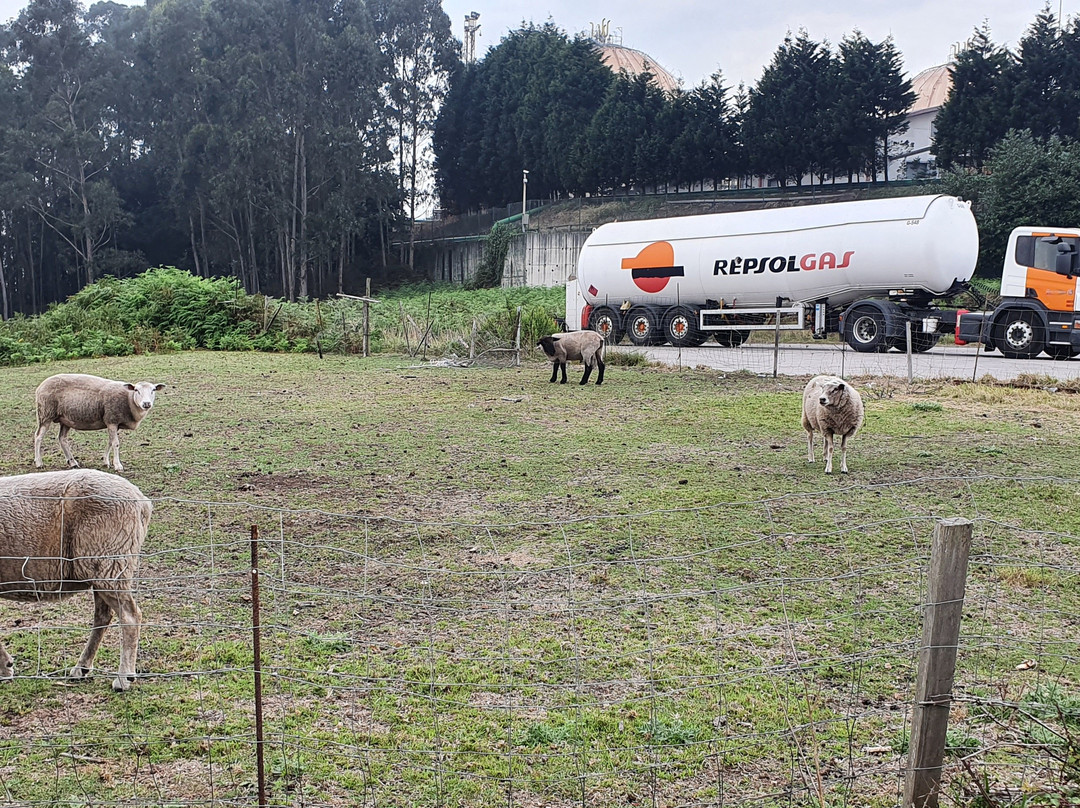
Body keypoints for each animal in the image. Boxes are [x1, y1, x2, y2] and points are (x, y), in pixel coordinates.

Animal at [0, 470, 153, 691]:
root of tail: (142, 502)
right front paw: (6, 668)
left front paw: (5, 668)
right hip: (103, 568)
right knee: (103, 617)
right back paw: (82, 668)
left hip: (110, 562)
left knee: (130, 616)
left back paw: (123, 678)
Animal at [33, 371, 163, 473]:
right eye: (136, 390)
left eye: (153, 390)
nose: (146, 404)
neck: (129, 400)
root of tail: (40, 387)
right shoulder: (112, 420)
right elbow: (115, 443)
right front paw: (118, 465)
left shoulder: (113, 424)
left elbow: (110, 442)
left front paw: (106, 462)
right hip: (45, 413)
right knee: (38, 436)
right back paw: (39, 463)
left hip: (65, 419)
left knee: (62, 439)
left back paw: (73, 462)